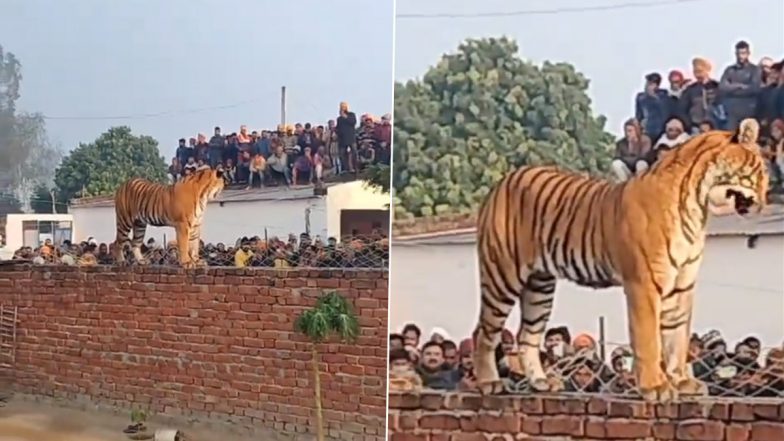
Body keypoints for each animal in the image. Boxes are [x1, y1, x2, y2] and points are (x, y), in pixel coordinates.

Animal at [474, 117, 768, 402]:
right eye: (758, 172)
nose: (764, 203)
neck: (697, 206)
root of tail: (505, 179)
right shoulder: (644, 283)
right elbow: (649, 340)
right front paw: (655, 388)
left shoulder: (682, 284)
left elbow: (677, 339)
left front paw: (683, 382)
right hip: (502, 275)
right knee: (484, 332)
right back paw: (489, 383)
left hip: (540, 285)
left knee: (527, 335)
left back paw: (541, 382)